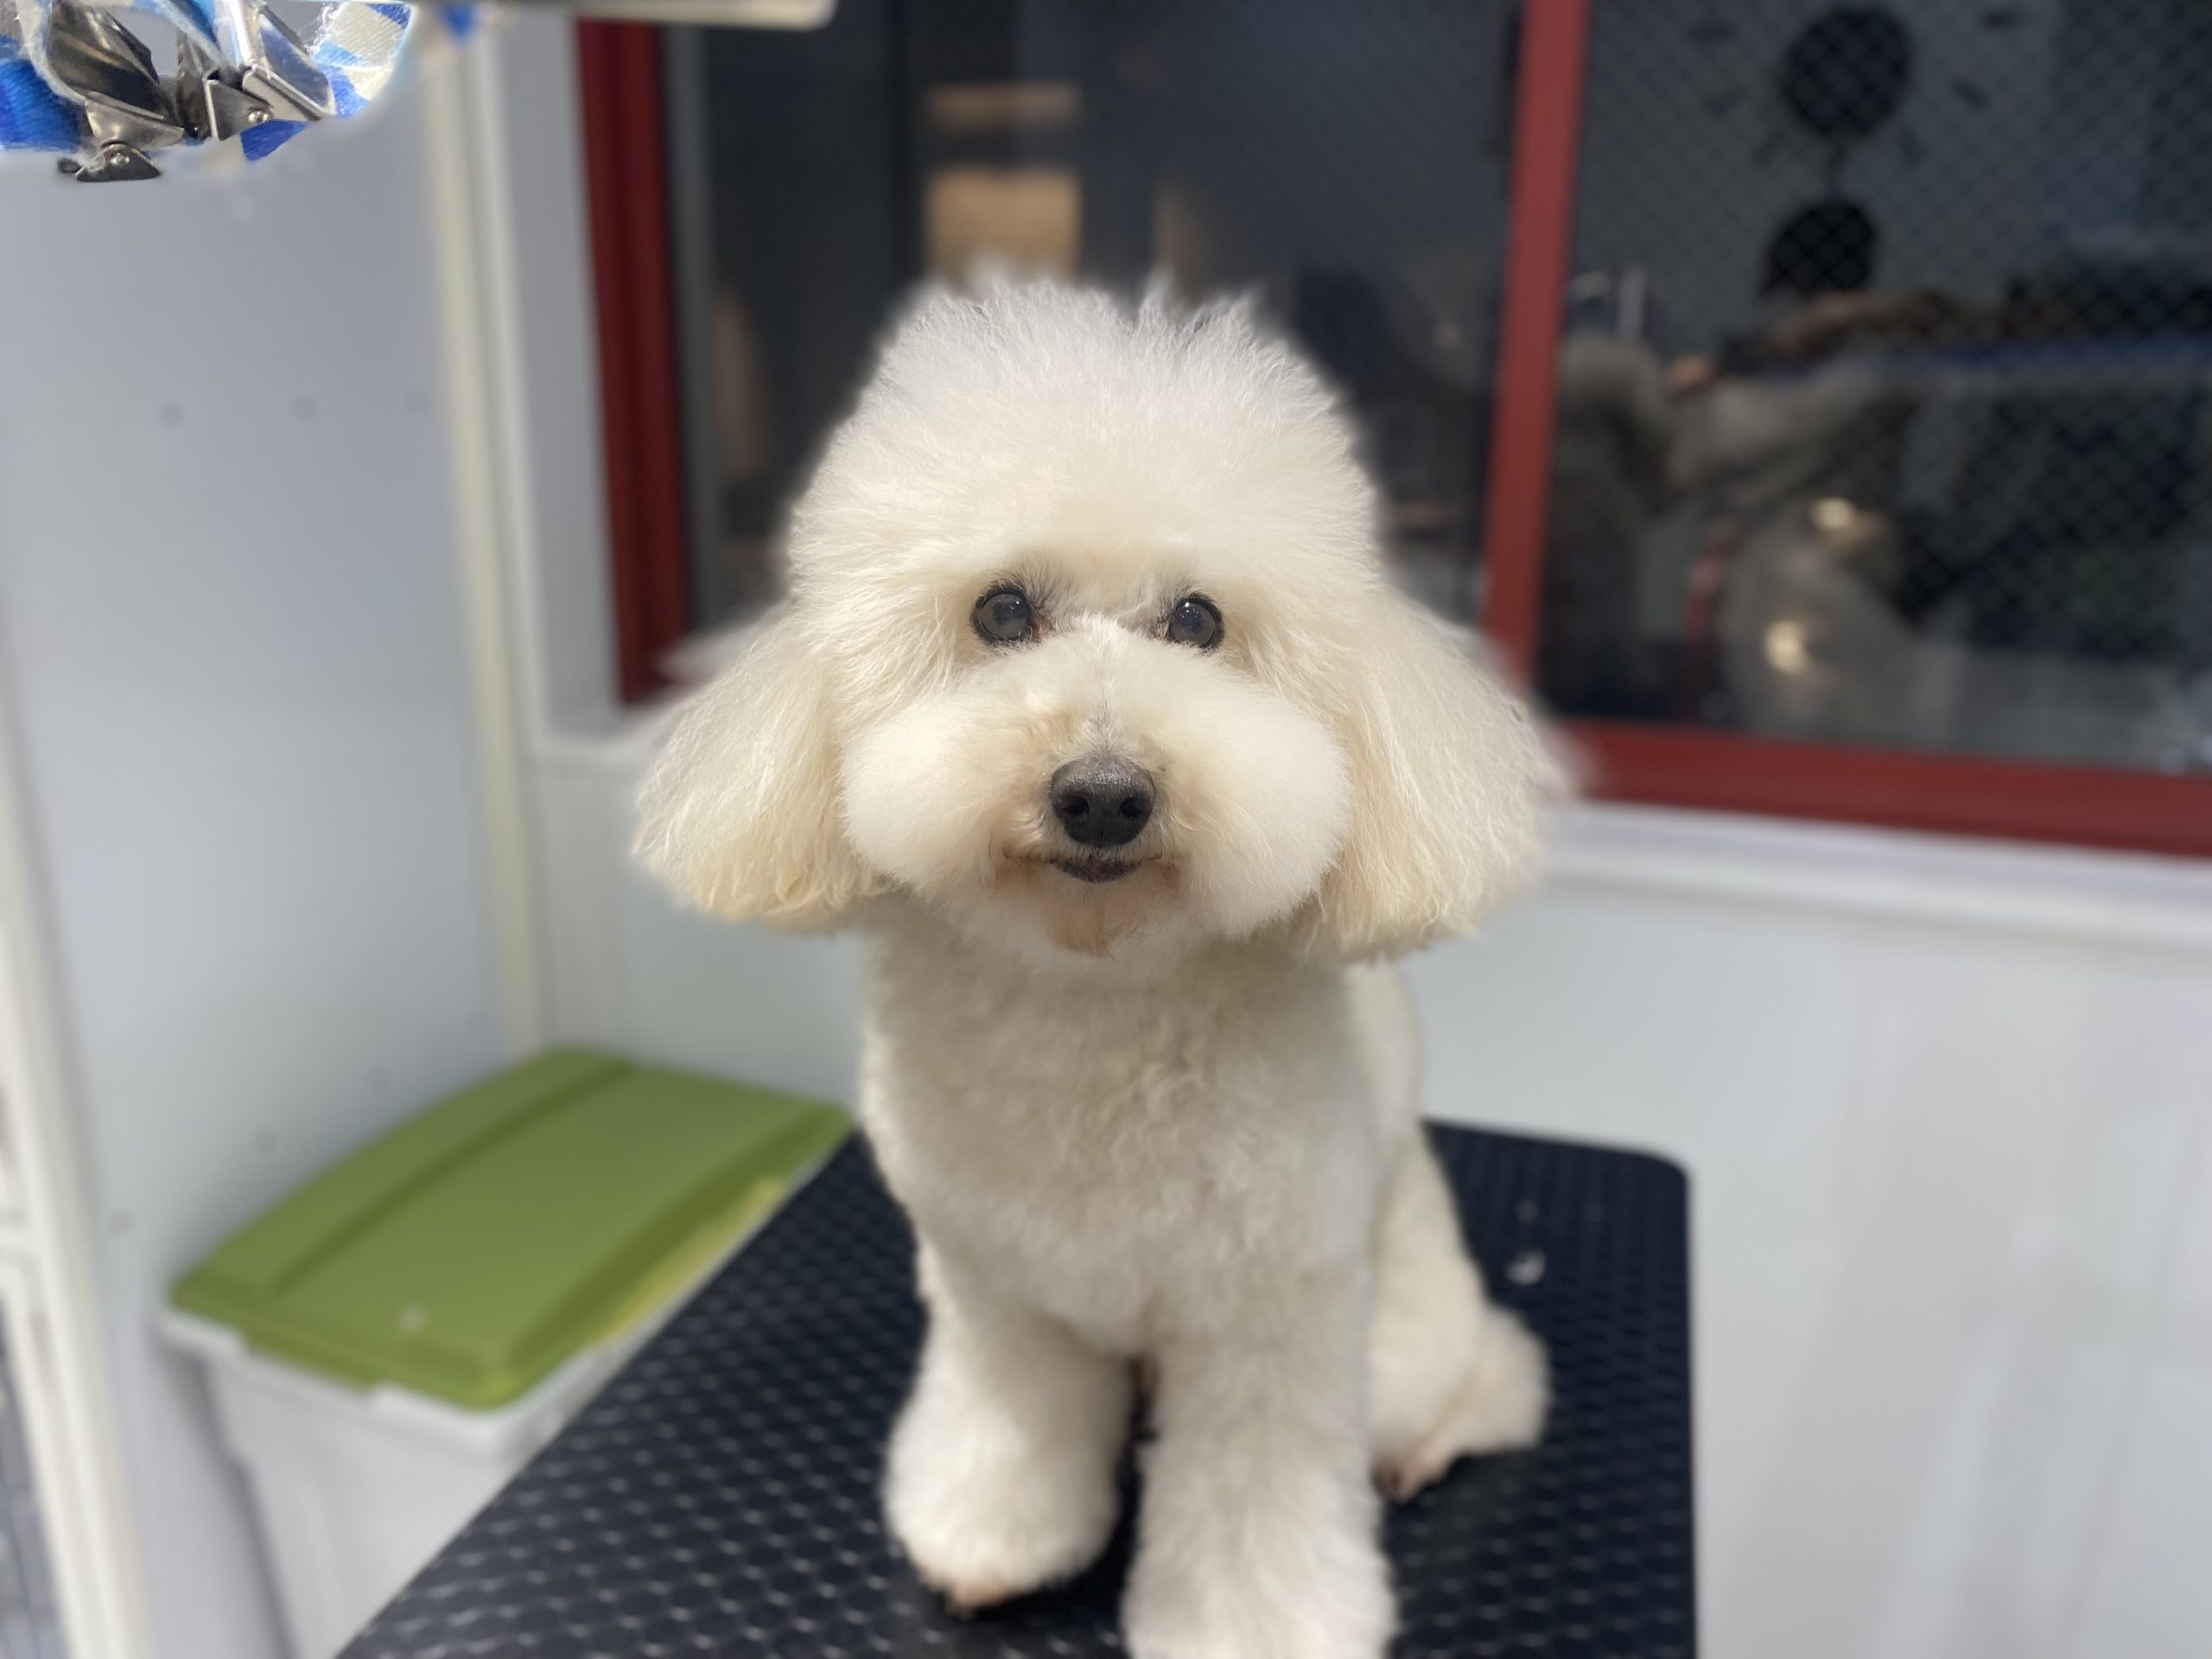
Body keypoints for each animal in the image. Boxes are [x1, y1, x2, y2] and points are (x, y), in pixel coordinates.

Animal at [637, 277, 1560, 1659]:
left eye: (1198, 621)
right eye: (1002, 612)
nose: (1104, 795)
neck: (1091, 1006)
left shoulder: (1265, 1318)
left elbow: (1252, 1499)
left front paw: (1249, 1627)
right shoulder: (997, 1295)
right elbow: (1014, 1426)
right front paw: (992, 1538)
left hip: (1397, 1335)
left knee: (1483, 1380)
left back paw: (1427, 1443)